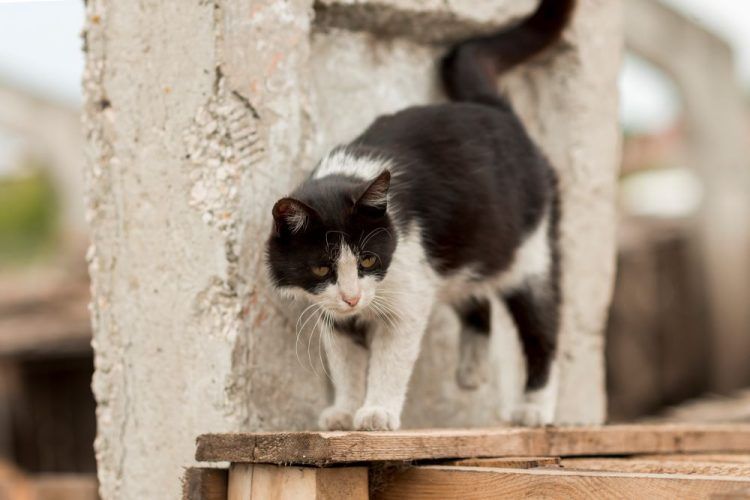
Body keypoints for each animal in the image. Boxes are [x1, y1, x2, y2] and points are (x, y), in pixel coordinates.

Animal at [268, 0, 580, 430]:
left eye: (369, 260)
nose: (352, 297)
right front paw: (345, 411)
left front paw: (377, 411)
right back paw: (472, 370)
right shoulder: (333, 311)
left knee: (542, 328)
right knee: (475, 297)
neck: (351, 173)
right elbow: (345, 361)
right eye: (320, 268)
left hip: (530, 252)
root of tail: (496, 110)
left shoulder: (408, 290)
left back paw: (535, 408)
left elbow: (390, 359)